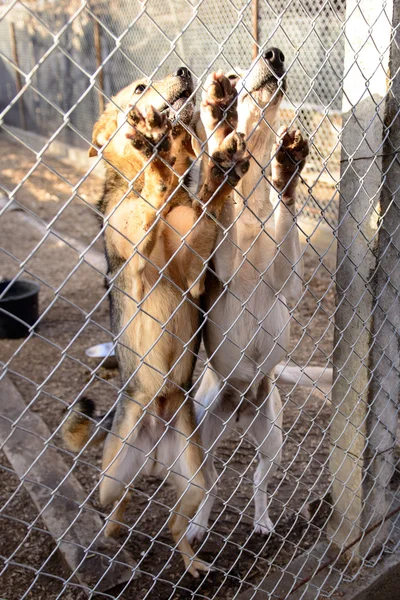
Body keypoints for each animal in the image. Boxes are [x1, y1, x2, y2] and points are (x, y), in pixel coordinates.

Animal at [61, 67, 250, 576]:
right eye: (140, 88)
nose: (184, 71)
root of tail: (152, 450)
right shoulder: (142, 262)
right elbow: (153, 192)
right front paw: (157, 158)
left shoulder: (193, 271)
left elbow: (204, 205)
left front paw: (210, 164)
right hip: (110, 478)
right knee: (118, 503)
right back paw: (111, 534)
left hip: (196, 482)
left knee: (174, 524)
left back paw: (192, 562)